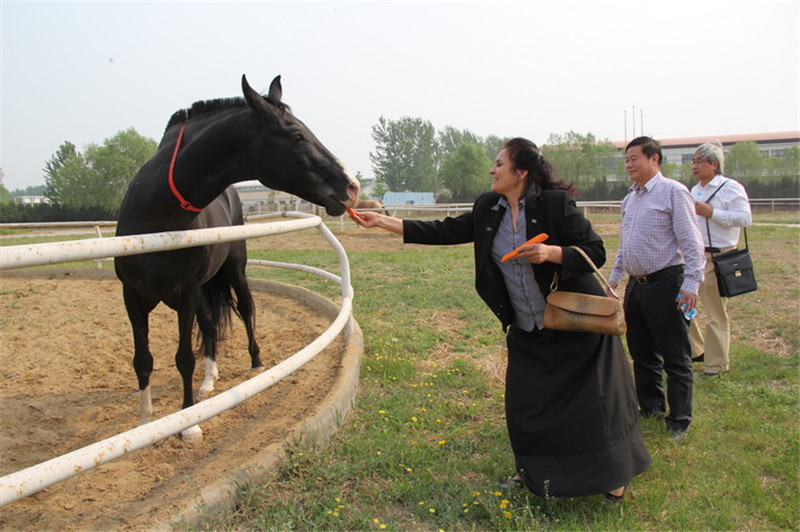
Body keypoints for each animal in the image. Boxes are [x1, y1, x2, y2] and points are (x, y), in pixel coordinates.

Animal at [113, 75, 360, 440]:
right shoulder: (133, 296)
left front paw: (188, 425)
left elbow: (184, 358)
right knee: (209, 324)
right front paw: (145, 424)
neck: (157, 218)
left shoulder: (186, 293)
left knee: (244, 310)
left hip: (233, 273)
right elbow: (142, 359)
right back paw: (209, 381)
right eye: (296, 135)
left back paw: (254, 363)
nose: (352, 186)